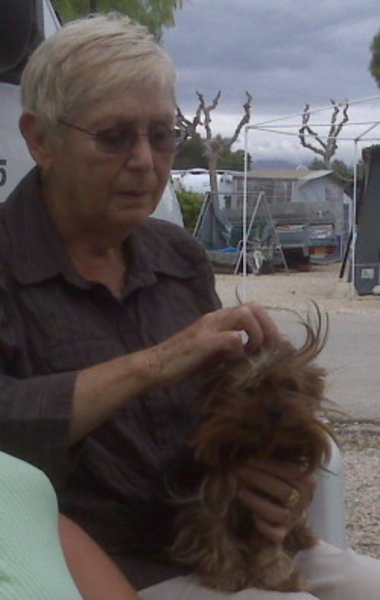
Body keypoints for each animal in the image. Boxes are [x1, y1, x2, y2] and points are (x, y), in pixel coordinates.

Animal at [172, 308, 336, 592]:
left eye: (291, 386)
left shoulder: (274, 504)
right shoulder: (216, 495)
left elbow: (269, 544)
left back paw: (303, 536)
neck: (262, 447)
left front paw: (277, 578)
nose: (274, 410)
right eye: (249, 388)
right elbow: (216, 528)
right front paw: (226, 575)